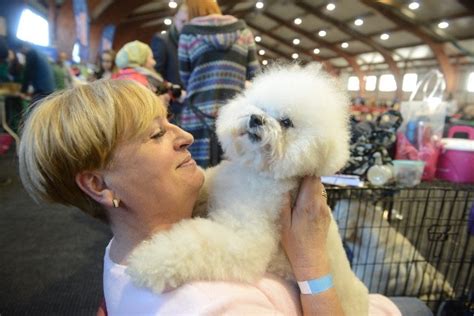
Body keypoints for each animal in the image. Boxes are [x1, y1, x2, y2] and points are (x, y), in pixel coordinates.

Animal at [128, 64, 368, 316]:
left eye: (286, 122)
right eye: (260, 107)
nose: (256, 119)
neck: (255, 172)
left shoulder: (246, 241)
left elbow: (198, 242)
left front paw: (148, 260)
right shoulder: (216, 183)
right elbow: (203, 182)